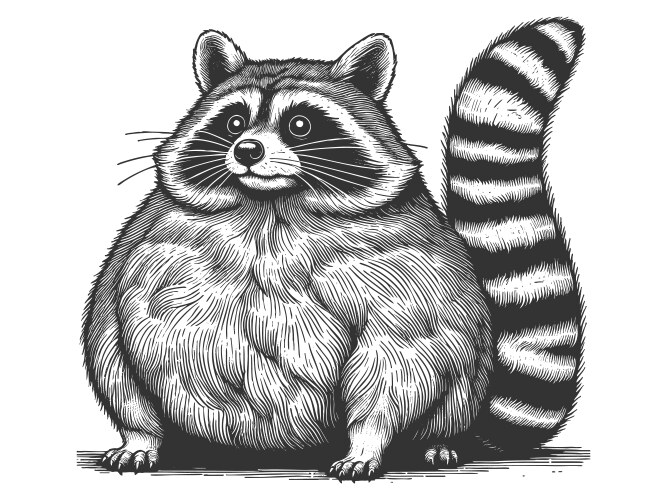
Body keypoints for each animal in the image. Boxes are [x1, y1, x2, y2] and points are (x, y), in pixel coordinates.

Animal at [83, 18, 584, 479]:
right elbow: (115, 353)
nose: (246, 150)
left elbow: (399, 360)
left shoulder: (406, 269)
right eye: (234, 121)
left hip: (466, 380)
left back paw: (439, 440)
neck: (271, 206)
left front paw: (366, 443)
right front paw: (140, 436)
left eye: (299, 125)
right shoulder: (145, 251)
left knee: (449, 379)